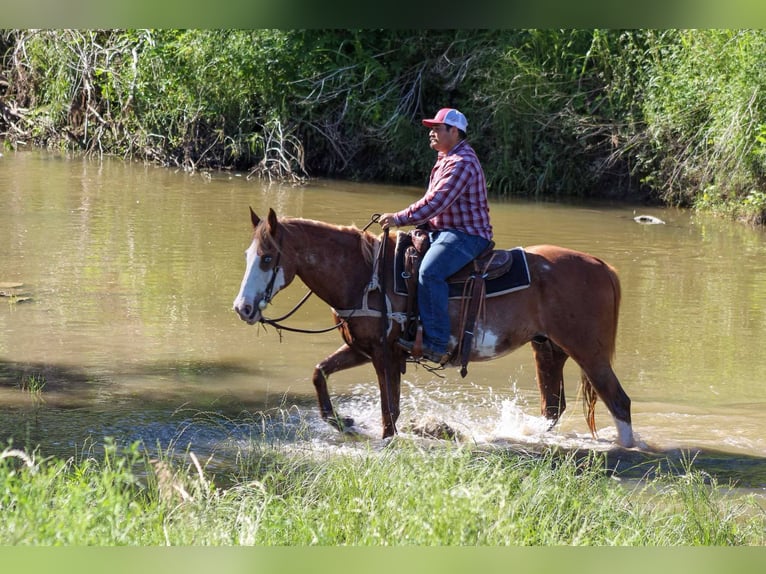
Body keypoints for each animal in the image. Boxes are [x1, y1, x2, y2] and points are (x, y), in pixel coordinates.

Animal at [233, 208, 635, 448]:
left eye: (267, 258)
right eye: (248, 255)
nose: (243, 308)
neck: (364, 275)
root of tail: (602, 265)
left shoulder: (384, 354)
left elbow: (389, 412)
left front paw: (384, 441)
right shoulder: (363, 348)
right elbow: (320, 373)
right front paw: (344, 422)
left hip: (589, 351)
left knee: (619, 401)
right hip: (549, 349)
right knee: (553, 408)